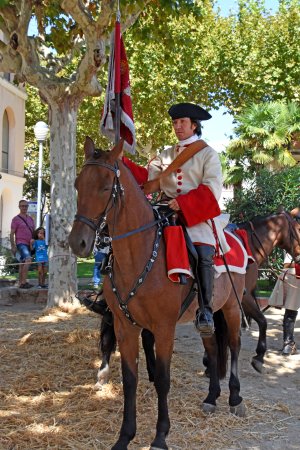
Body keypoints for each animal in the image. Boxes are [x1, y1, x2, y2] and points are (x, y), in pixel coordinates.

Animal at [69, 137, 246, 450]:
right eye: (78, 183)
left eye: (105, 186)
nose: (78, 242)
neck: (138, 255)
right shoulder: (125, 326)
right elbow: (129, 379)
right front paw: (125, 436)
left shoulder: (164, 328)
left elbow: (163, 379)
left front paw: (161, 435)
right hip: (207, 315)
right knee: (214, 349)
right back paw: (211, 397)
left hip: (232, 309)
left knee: (234, 346)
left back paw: (235, 398)